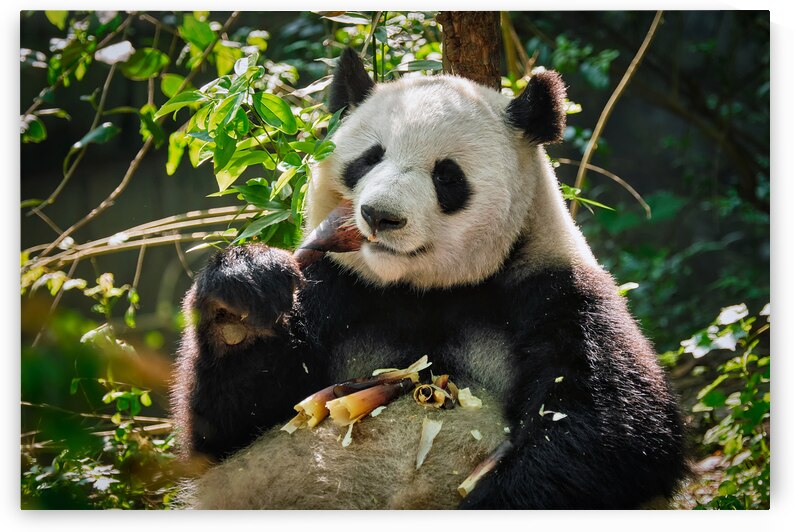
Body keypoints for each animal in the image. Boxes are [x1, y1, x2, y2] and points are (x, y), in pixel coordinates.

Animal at [171, 47, 687, 510]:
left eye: (447, 175)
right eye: (369, 158)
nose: (379, 216)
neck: (423, 288)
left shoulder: (554, 290)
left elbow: (611, 430)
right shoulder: (335, 287)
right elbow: (229, 428)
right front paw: (242, 298)